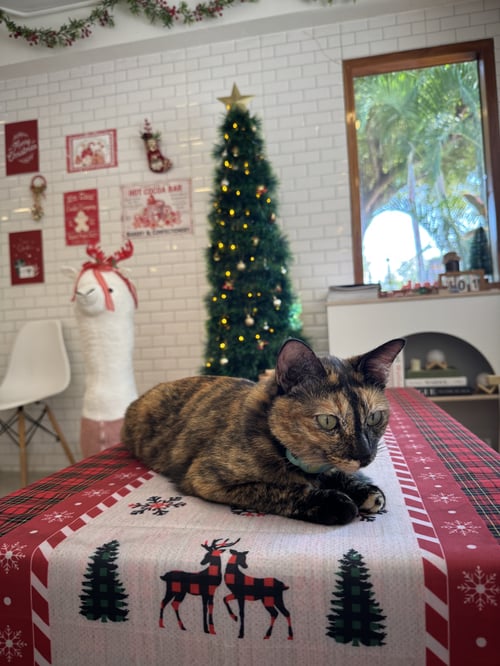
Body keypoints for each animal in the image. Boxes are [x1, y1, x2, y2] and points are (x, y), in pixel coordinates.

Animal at [122, 337, 405, 526]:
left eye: (375, 417)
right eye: (327, 421)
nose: (364, 456)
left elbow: (336, 473)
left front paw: (362, 489)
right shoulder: (206, 478)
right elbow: (276, 490)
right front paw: (335, 502)